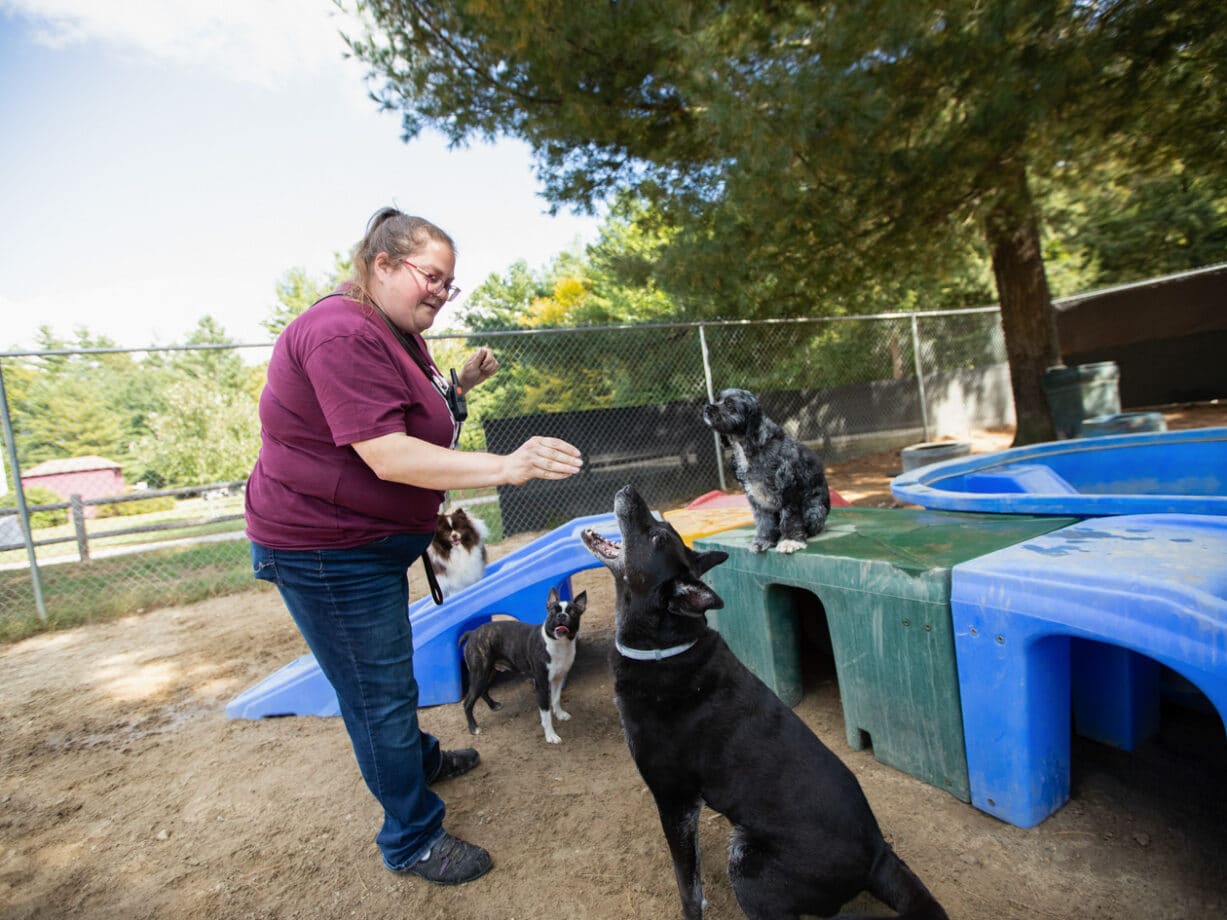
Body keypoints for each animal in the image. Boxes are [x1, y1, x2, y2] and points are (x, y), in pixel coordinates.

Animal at [579, 485, 942, 917]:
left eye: (655, 537)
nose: (630, 489)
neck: (666, 648)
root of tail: (879, 856)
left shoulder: (675, 801)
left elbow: (689, 887)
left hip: (746, 863)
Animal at [701, 390, 834, 554]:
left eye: (730, 405)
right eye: (718, 400)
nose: (707, 407)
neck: (750, 447)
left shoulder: (788, 491)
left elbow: (790, 519)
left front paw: (790, 541)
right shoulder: (757, 497)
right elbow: (764, 521)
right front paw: (763, 541)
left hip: (815, 510)